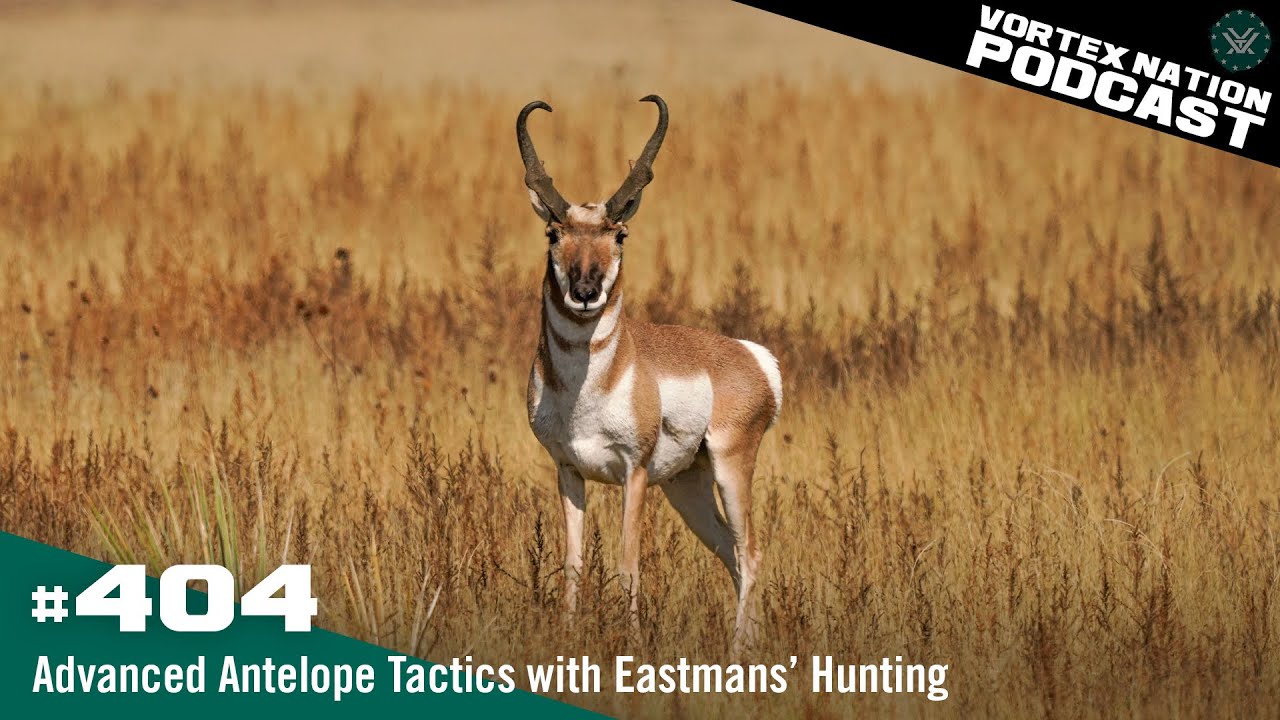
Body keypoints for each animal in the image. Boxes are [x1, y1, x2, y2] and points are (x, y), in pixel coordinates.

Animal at [518, 95, 782, 655]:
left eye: (620, 233)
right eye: (554, 232)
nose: (586, 290)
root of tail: (753, 357)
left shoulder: (633, 473)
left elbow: (628, 566)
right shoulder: (568, 471)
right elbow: (573, 566)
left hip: (730, 469)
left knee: (750, 553)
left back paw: (736, 654)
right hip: (687, 487)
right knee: (731, 554)